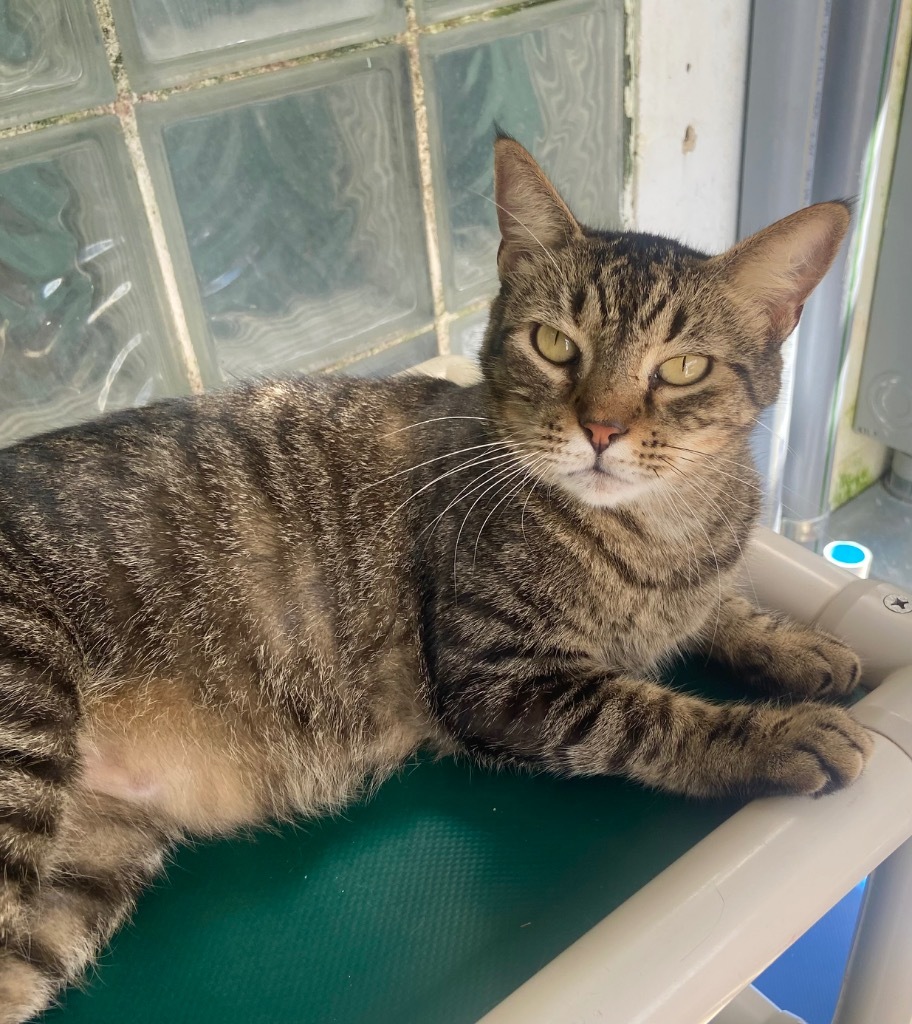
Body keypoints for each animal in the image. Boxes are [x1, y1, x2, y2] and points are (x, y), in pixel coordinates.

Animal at [0, 134, 872, 1015]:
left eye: (685, 367)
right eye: (555, 344)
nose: (602, 428)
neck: (662, 534)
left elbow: (721, 608)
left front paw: (797, 645)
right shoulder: (499, 680)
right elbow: (651, 717)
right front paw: (782, 732)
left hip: (88, 869)